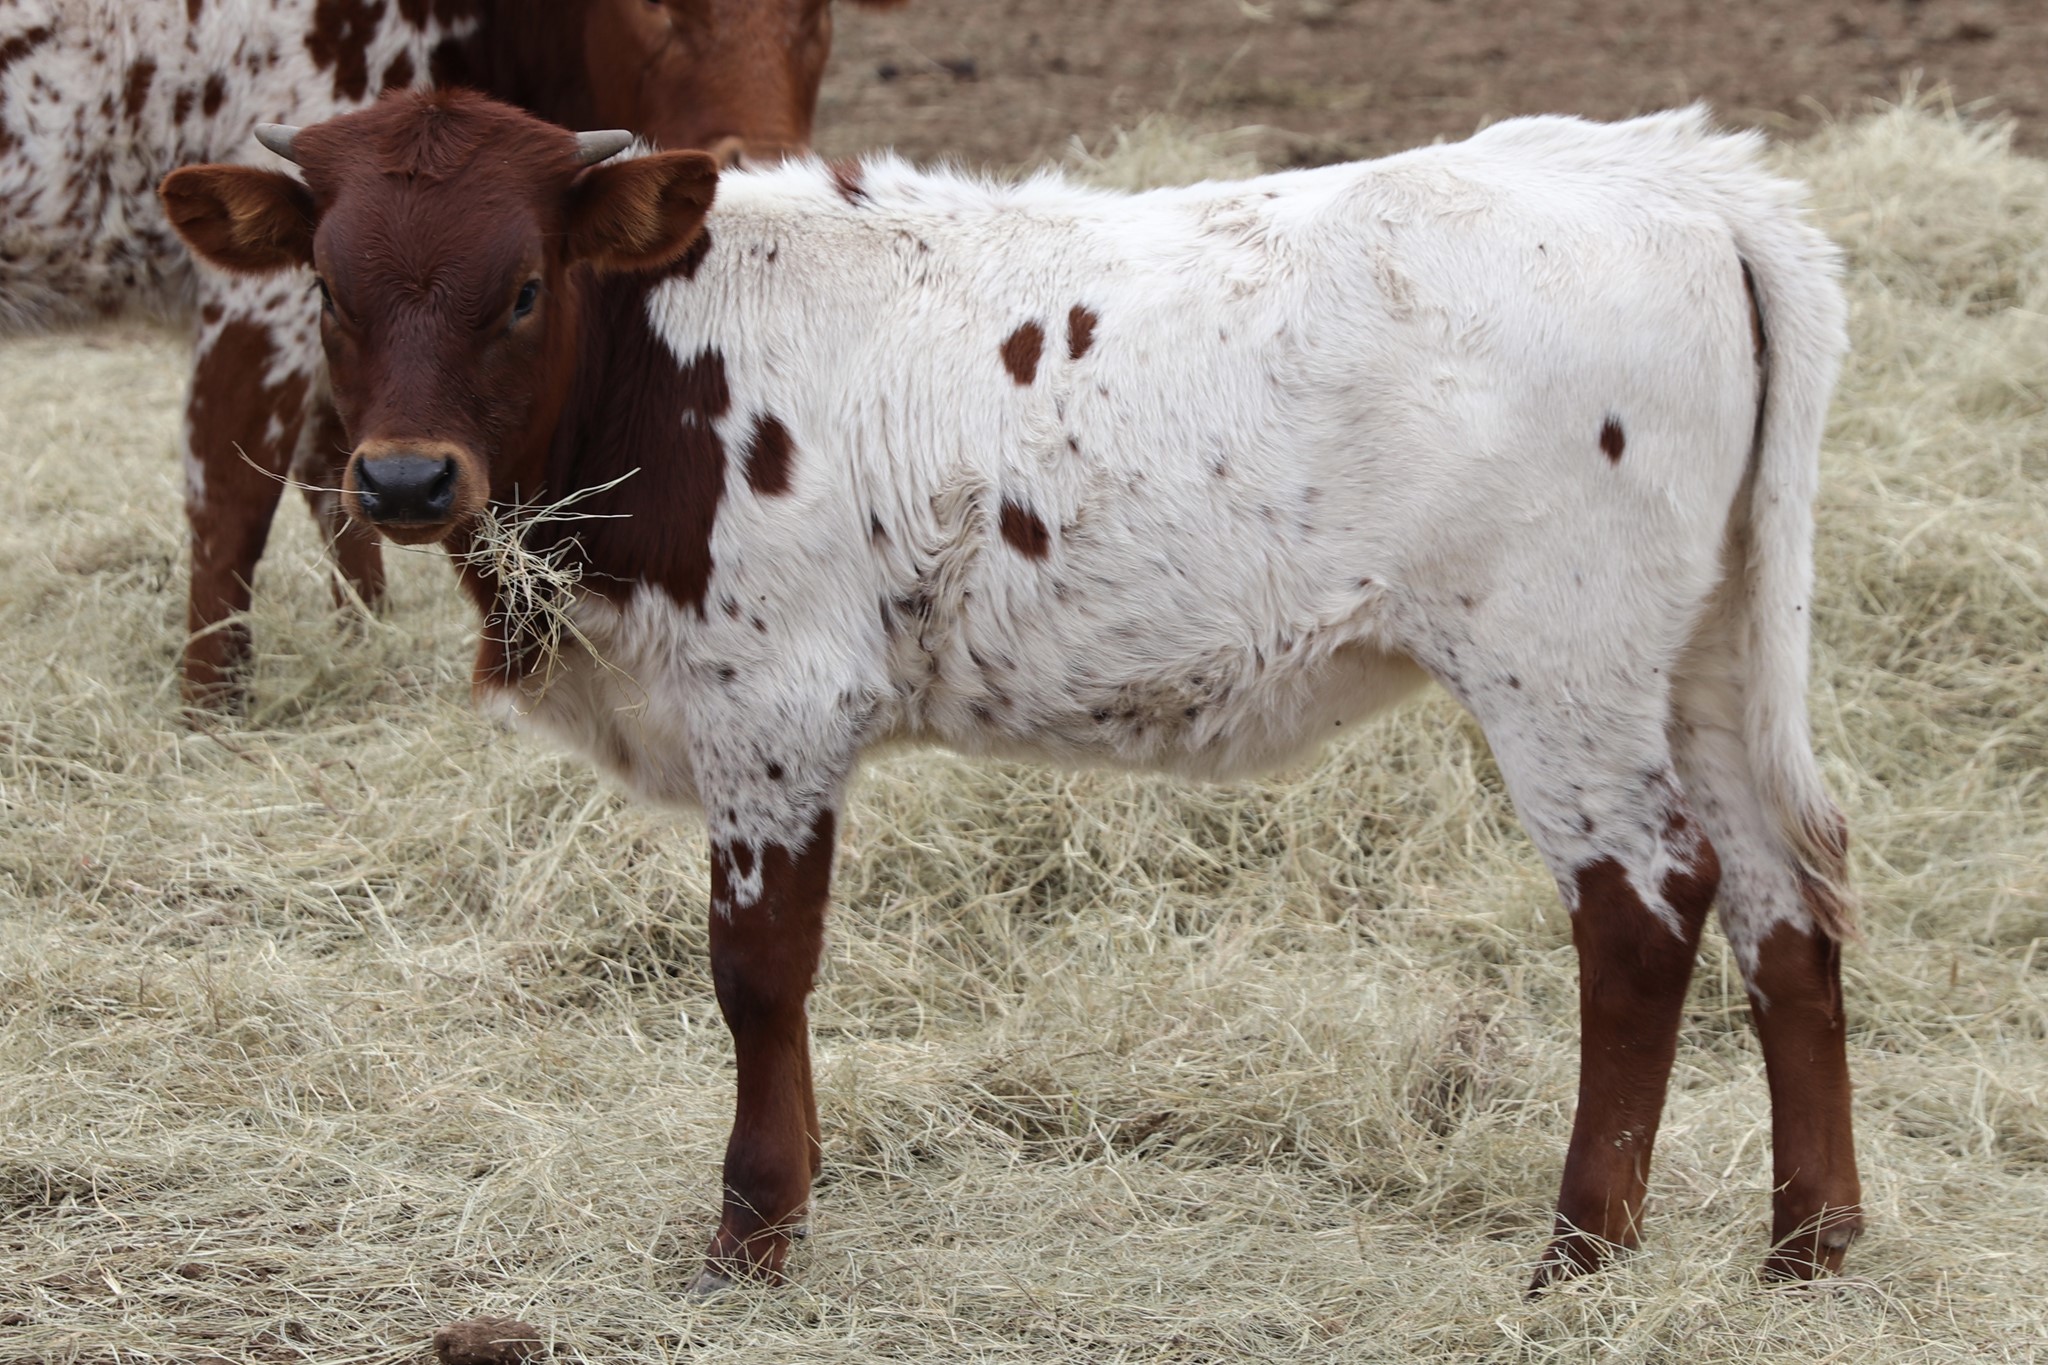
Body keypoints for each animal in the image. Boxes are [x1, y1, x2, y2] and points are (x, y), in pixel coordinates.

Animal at [0, 0, 905, 710]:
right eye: (655, 2)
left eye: (815, 9)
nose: (766, 158)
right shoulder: (259, 297)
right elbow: (231, 497)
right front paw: (209, 703)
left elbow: (331, 475)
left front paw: (363, 633)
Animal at [159, 89, 1864, 1295]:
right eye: (330, 286)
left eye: (519, 288)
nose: (402, 479)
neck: (666, 358)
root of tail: (1677, 182)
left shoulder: (775, 703)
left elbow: (759, 969)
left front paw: (754, 1233)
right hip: (1704, 655)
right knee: (1787, 897)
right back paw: (1809, 1245)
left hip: (1559, 661)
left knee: (1647, 907)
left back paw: (1580, 1253)